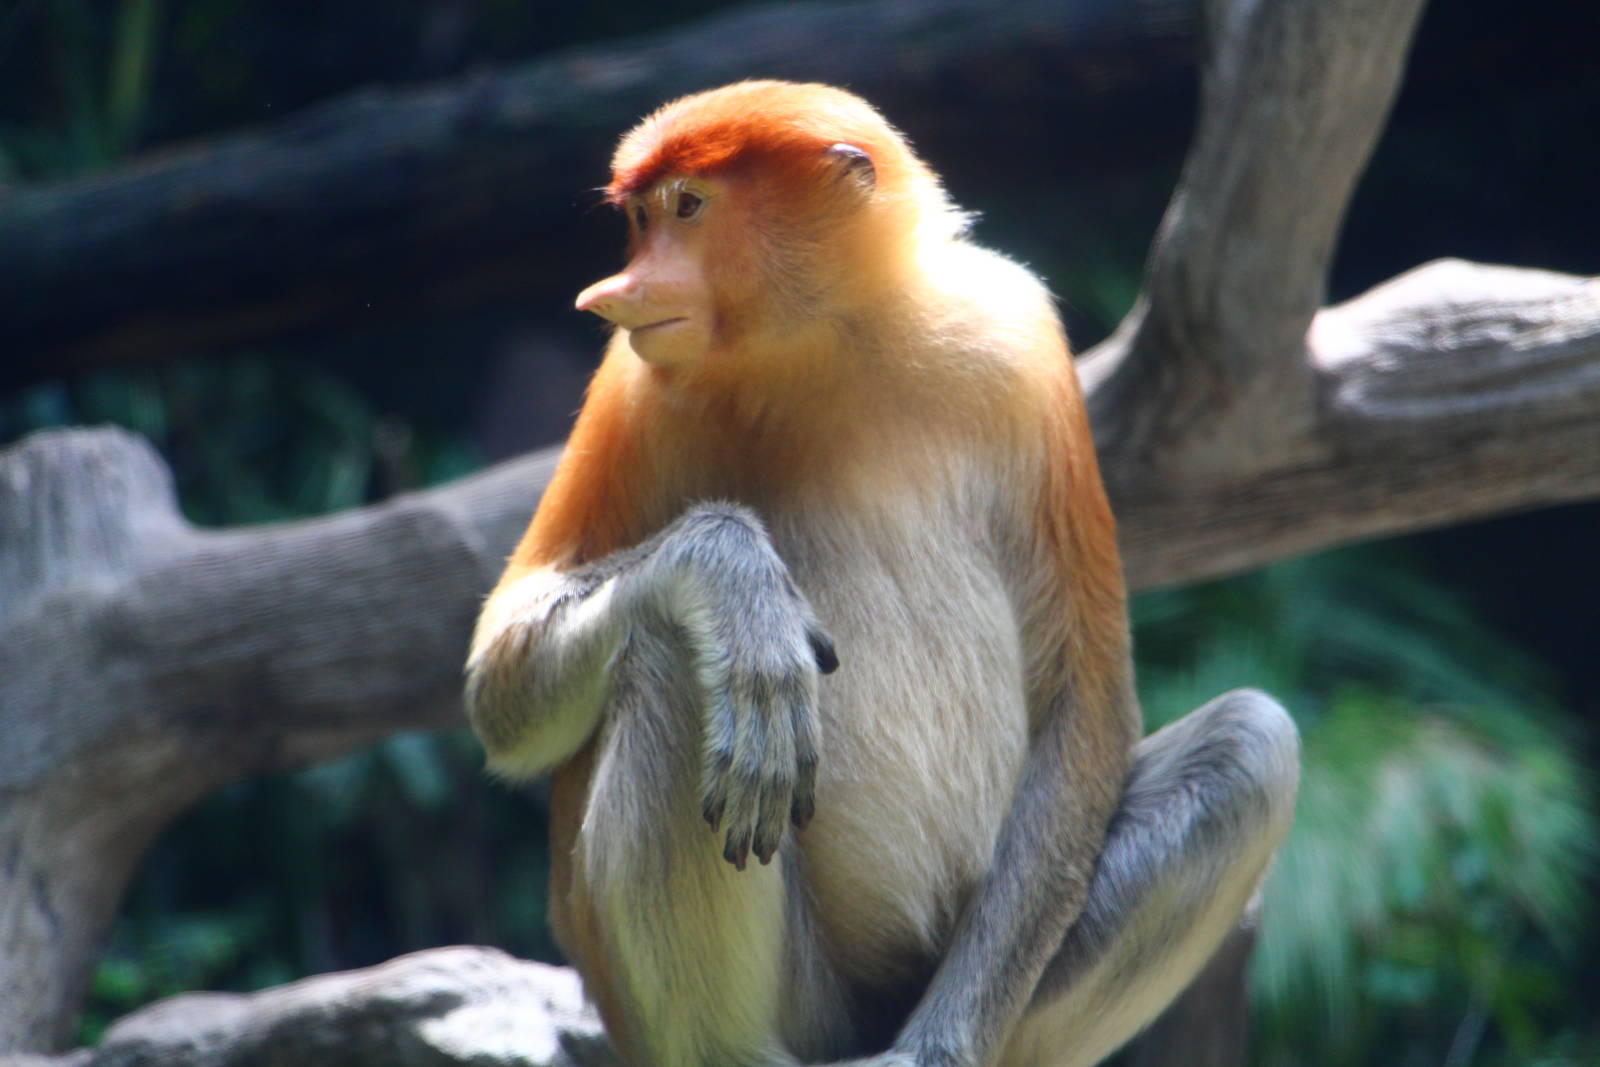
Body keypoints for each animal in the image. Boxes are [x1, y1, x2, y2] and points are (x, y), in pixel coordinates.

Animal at [464, 81, 1299, 1067]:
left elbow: (1085, 700)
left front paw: (938, 1051)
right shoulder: (631, 388)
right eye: (639, 217)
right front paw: (733, 580)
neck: (832, 342)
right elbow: (504, 675)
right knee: (673, 657)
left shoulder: (1020, 344)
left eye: (687, 207)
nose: (612, 294)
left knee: (1248, 746)